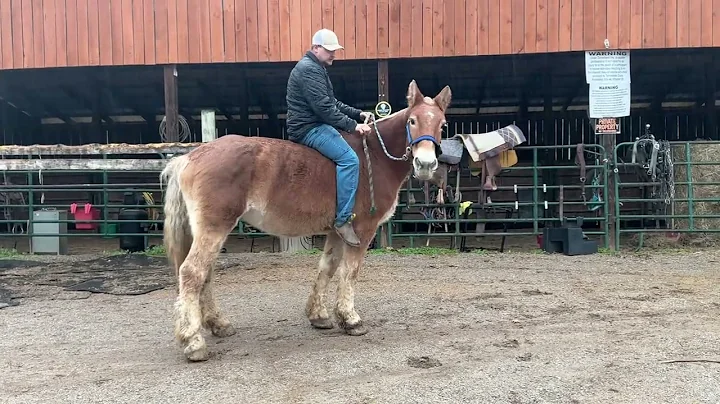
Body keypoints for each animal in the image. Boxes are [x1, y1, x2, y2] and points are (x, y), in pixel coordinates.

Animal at [160, 80, 452, 361]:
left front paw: (319, 315)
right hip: (215, 227)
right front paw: (351, 319)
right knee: (192, 272)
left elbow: (327, 267)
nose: (425, 164)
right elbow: (350, 272)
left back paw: (218, 324)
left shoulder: (338, 231)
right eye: (412, 121)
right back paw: (193, 341)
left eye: (442, 124)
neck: (375, 158)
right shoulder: (362, 230)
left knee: (206, 274)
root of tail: (189, 157)